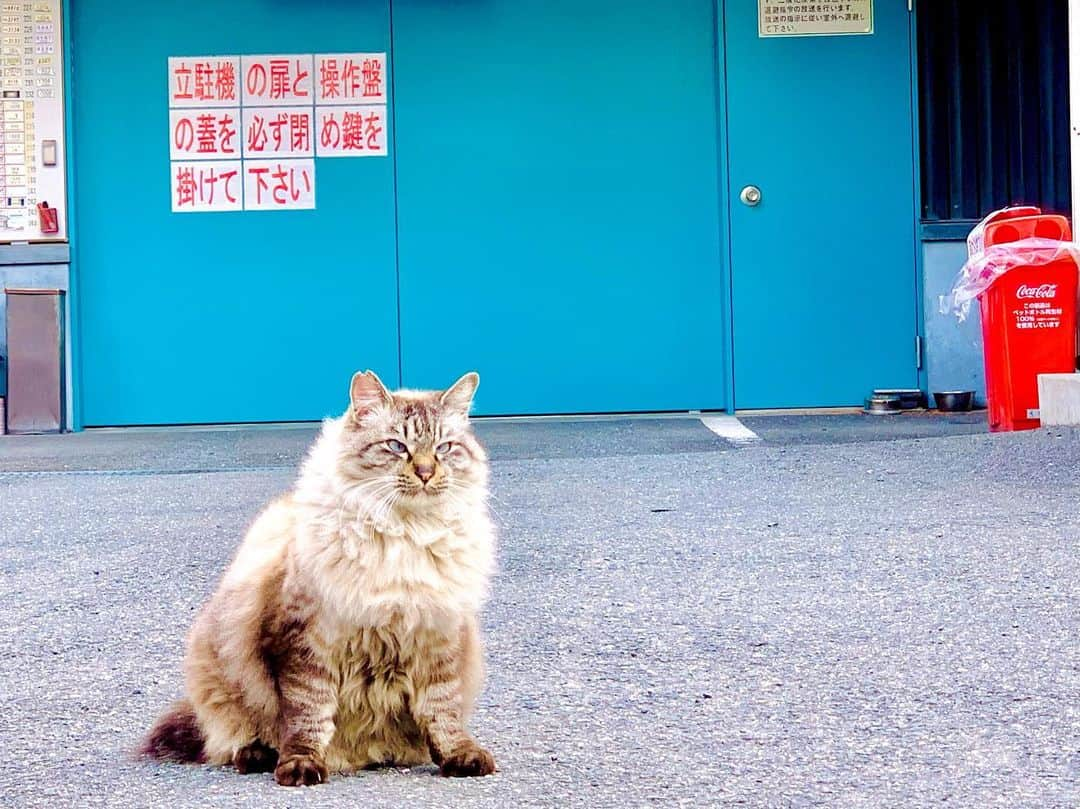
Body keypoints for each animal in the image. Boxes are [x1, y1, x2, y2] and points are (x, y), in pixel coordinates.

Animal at [140, 371, 496, 781]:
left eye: (444, 448)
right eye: (397, 446)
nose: (425, 472)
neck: (406, 537)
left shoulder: (440, 639)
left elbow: (443, 713)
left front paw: (460, 757)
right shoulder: (307, 644)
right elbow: (308, 717)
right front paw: (301, 766)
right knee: (232, 737)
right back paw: (258, 755)